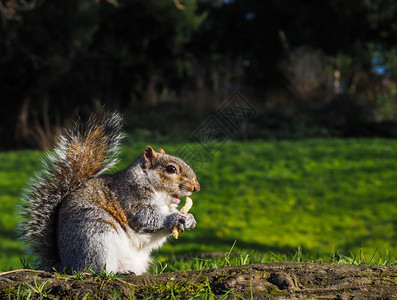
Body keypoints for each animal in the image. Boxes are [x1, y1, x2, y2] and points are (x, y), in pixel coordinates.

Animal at [20, 112, 200, 274]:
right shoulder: (131, 199)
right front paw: (176, 218)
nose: (196, 187)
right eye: (171, 169)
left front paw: (190, 219)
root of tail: (66, 265)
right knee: (96, 270)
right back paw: (116, 272)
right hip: (96, 234)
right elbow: (146, 219)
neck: (161, 196)